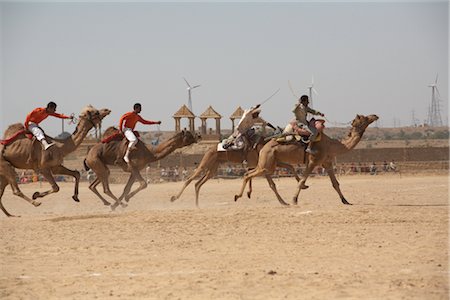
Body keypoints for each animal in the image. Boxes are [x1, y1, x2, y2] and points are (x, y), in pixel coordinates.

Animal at [171, 135, 300, 207]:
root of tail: (210, 149)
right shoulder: (262, 167)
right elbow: (271, 184)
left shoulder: (266, 165)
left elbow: (288, 169)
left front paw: (286, 201)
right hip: (206, 162)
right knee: (190, 179)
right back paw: (174, 198)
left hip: (213, 167)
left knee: (198, 183)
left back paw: (197, 205)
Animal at [234, 113, 378, 205]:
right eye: (365, 118)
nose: (375, 115)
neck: (331, 145)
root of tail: (263, 146)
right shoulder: (313, 161)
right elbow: (303, 179)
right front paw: (294, 199)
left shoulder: (327, 163)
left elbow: (335, 183)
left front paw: (346, 201)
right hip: (267, 162)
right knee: (249, 174)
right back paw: (238, 196)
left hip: (270, 163)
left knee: (254, 174)